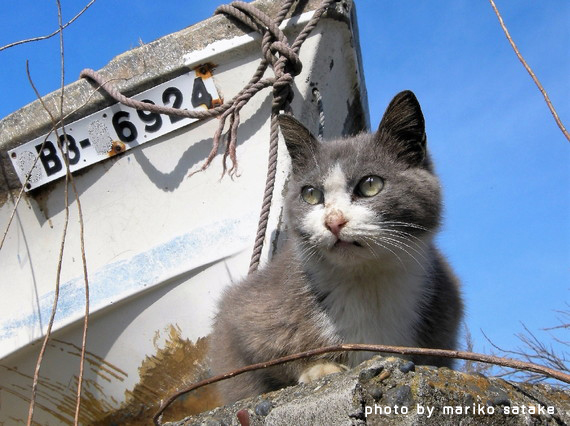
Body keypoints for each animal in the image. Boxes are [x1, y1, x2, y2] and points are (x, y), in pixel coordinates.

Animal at [209, 90, 462, 406]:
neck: (366, 281)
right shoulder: (243, 317)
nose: (333, 221)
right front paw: (320, 368)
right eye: (310, 194)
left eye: (370, 185)